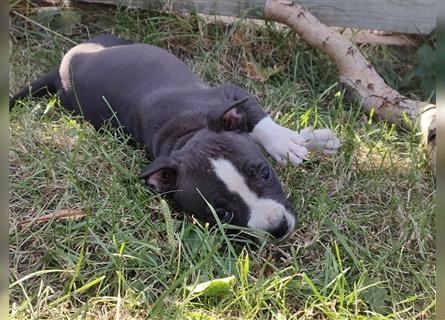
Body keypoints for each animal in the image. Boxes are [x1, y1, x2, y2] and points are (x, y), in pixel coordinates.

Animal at [8, 35, 338, 240]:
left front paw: (294, 142)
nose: (277, 228)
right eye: (221, 213)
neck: (186, 134)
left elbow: (259, 120)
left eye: (265, 173)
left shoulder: (230, 94)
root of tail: (58, 71)